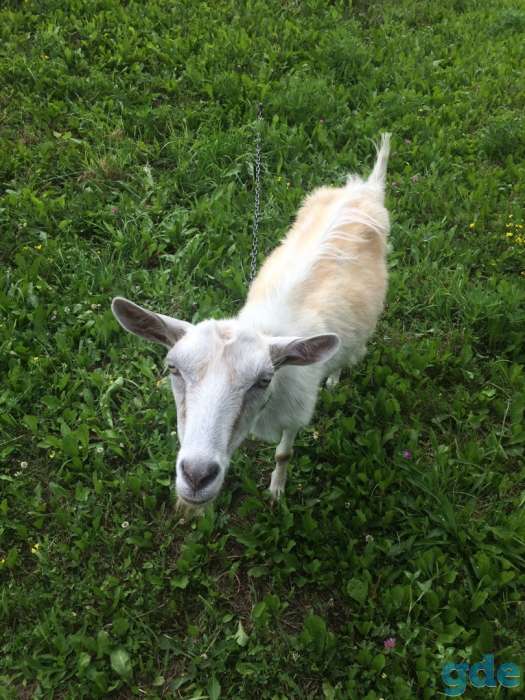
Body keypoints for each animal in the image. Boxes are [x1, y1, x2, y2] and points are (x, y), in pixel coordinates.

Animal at [111, 133, 391, 506]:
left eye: (263, 380)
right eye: (172, 368)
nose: (197, 475)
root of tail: (364, 189)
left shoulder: (296, 412)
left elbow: (284, 454)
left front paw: (276, 492)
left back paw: (334, 378)